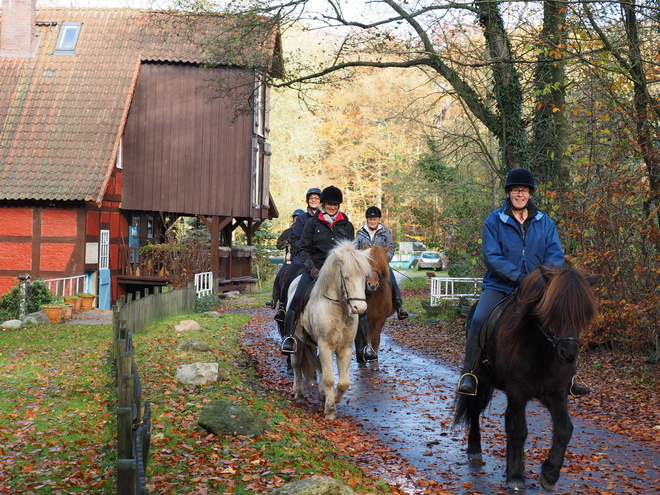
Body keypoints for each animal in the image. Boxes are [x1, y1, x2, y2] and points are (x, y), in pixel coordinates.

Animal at [288, 242, 374, 420]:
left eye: (364, 277)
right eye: (346, 277)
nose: (359, 308)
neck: (338, 308)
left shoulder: (345, 347)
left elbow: (343, 382)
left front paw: (332, 398)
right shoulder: (325, 345)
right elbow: (329, 379)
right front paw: (330, 410)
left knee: (318, 365)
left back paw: (321, 395)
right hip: (298, 340)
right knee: (297, 364)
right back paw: (299, 394)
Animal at [356, 244, 392, 372]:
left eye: (381, 265)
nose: (372, 285)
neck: (373, 295)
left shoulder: (380, 319)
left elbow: (375, 339)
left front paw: (374, 362)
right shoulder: (364, 318)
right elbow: (363, 338)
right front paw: (364, 359)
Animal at [454, 266, 604, 490]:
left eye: (583, 313)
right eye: (553, 309)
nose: (568, 354)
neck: (540, 353)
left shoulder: (556, 393)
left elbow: (564, 429)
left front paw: (550, 474)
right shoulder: (517, 392)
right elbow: (519, 430)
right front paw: (516, 475)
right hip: (479, 380)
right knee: (474, 410)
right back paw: (474, 450)